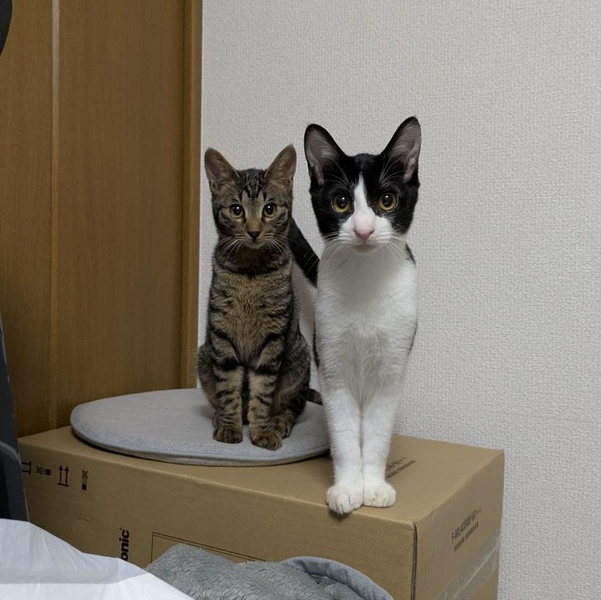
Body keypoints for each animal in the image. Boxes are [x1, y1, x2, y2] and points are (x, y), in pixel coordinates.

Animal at [197, 145, 312, 450]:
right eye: (236, 210)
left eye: (269, 209)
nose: (253, 230)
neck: (250, 272)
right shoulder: (221, 334)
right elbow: (228, 388)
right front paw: (229, 425)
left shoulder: (272, 339)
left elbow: (262, 392)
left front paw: (262, 431)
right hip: (203, 355)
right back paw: (221, 418)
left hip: (298, 358)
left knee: (292, 406)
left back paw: (278, 422)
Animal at [289, 117, 421, 513]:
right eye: (341, 202)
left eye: (387, 200)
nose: (363, 229)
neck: (366, 280)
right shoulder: (331, 364)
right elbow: (345, 431)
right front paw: (347, 487)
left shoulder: (392, 368)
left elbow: (376, 432)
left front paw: (373, 486)